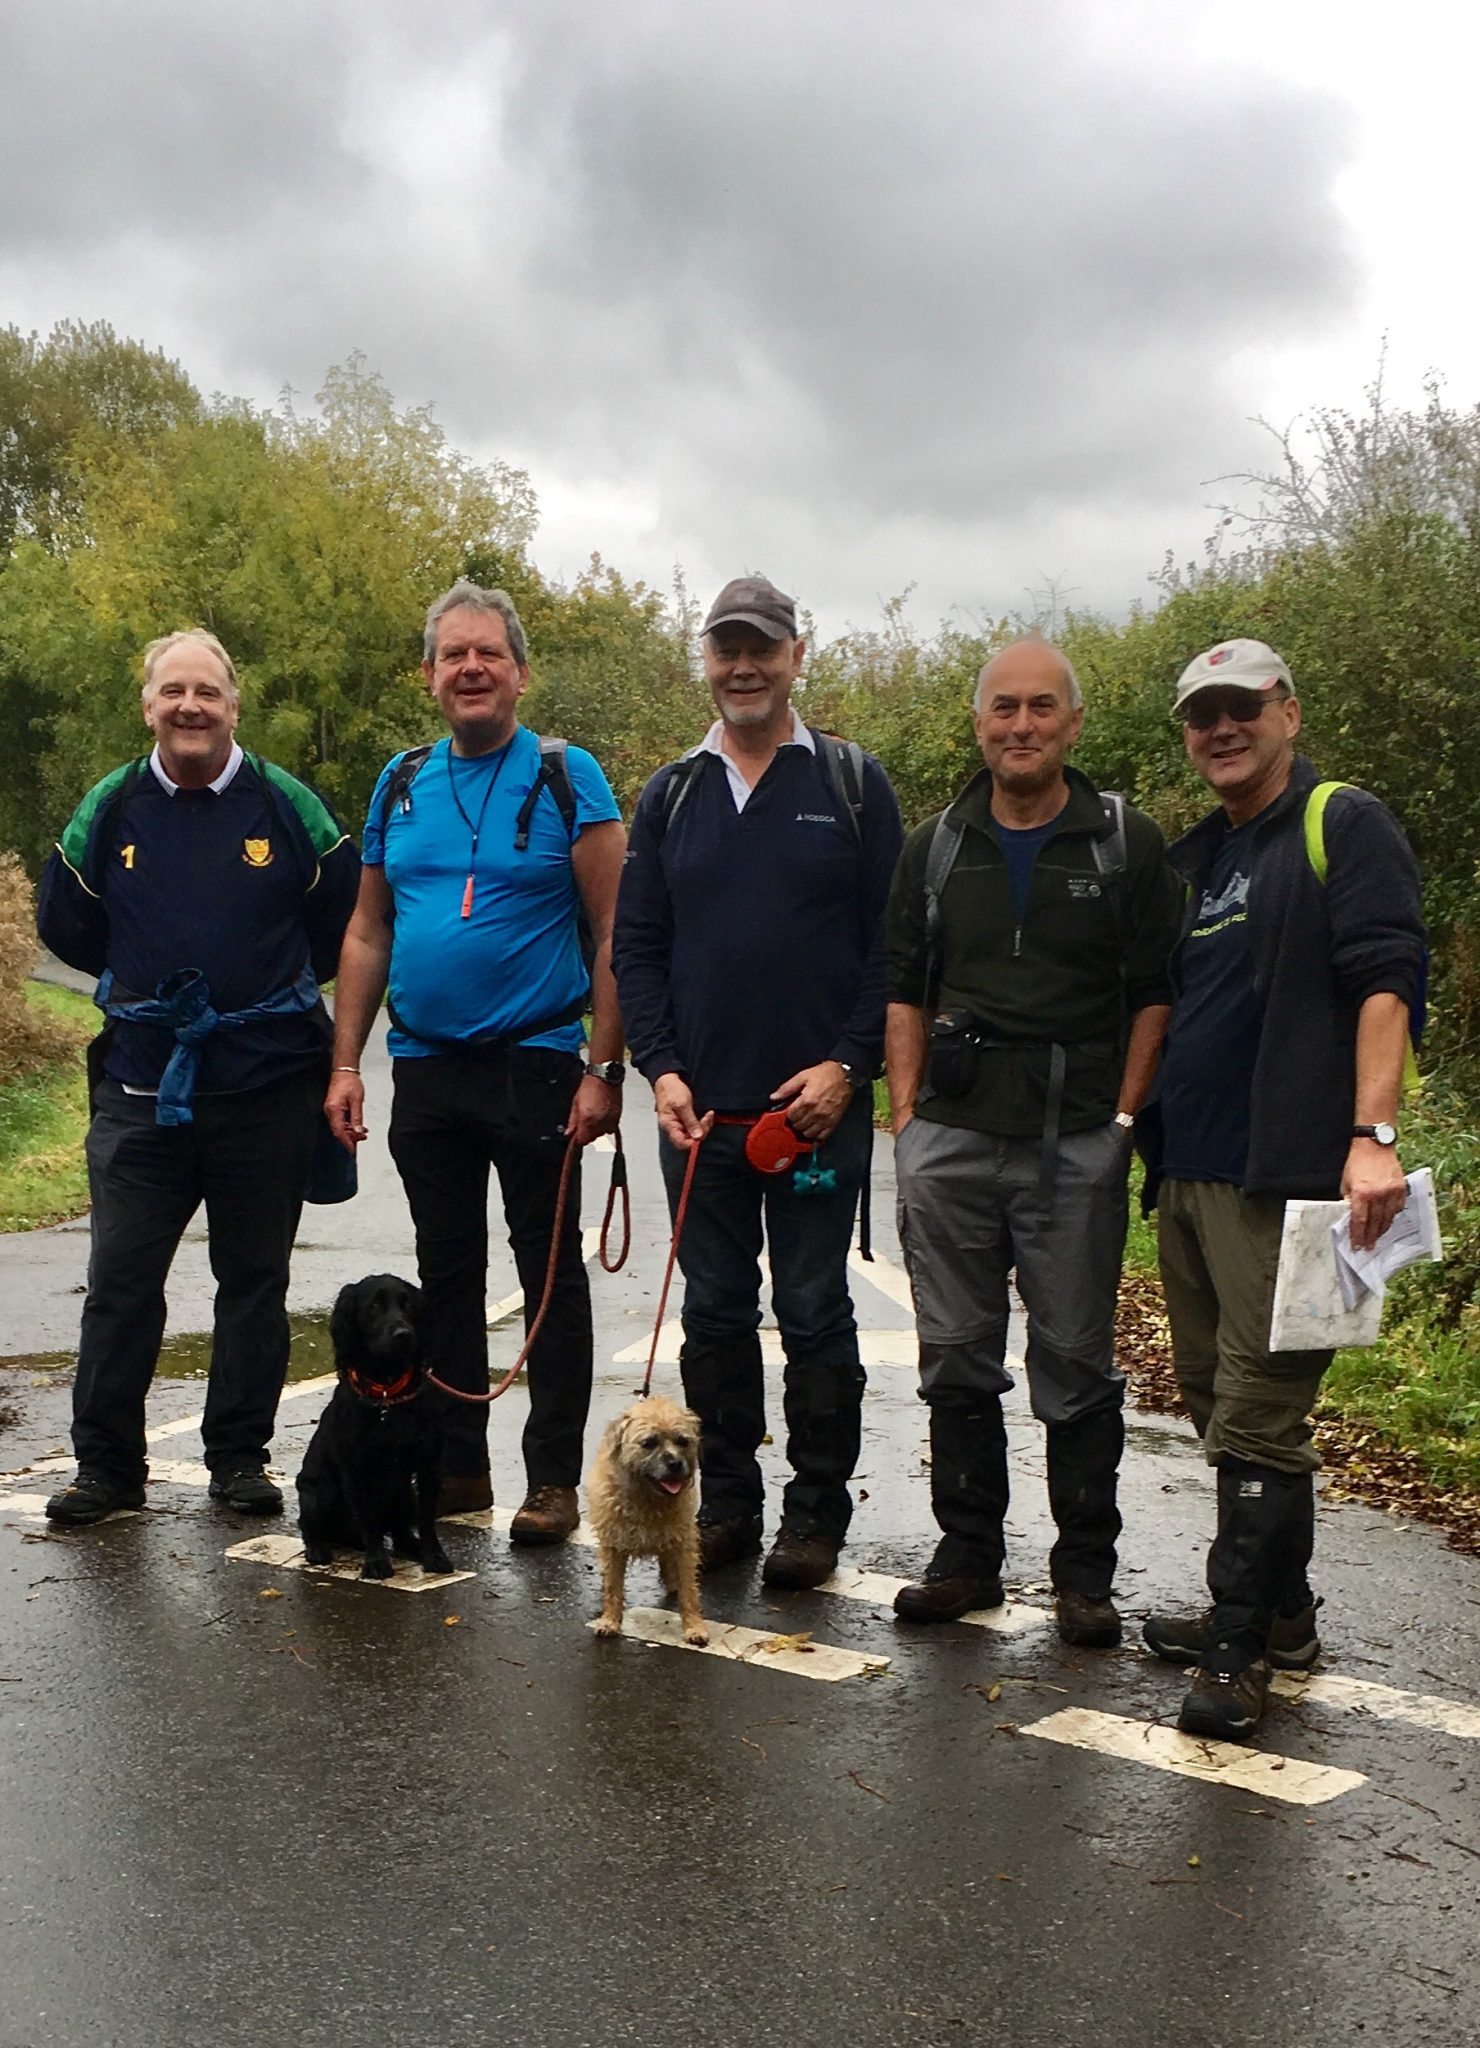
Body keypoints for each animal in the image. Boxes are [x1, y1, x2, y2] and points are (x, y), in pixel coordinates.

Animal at [296, 1269, 454, 1572]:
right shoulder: (357, 1468)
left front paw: (434, 1556)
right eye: (375, 1306)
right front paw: (377, 1562)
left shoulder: (429, 1464)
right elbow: (368, 1518)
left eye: (407, 1304)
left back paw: (412, 1547)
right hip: (316, 1491)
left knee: (401, 1533)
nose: (404, 1334)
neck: (386, 1393)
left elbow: (427, 1519)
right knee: (308, 1525)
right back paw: (318, 1548)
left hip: (405, 1495)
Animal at [589, 1392, 708, 1646]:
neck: (648, 1499)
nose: (675, 1464)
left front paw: (694, 1627)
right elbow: (613, 1587)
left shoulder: (683, 1545)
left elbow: (689, 1590)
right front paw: (610, 1621)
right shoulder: (613, 1546)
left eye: (682, 1441)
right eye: (649, 1443)